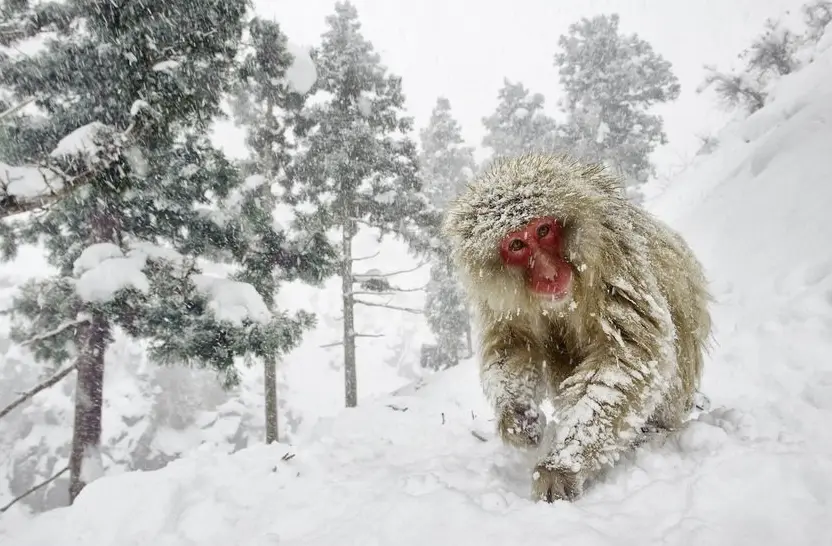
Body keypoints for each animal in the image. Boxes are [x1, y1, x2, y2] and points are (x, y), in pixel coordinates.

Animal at [446, 154, 712, 502]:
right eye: (516, 244)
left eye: (544, 229)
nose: (548, 273)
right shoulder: (499, 296)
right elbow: (513, 342)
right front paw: (517, 415)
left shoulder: (611, 255)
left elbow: (628, 356)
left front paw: (560, 467)